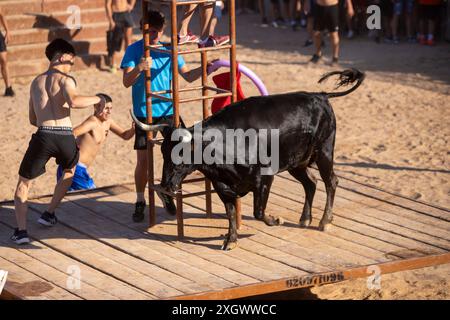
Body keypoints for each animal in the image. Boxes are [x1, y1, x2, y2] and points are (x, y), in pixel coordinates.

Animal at [133, 69, 366, 251]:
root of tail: (320, 96)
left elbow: (258, 211)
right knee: (311, 182)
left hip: (325, 151)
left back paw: (324, 221)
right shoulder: (222, 185)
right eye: (163, 153)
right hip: (297, 162)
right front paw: (231, 240)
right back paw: (304, 219)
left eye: (182, 153)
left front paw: (275, 219)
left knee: (331, 182)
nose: (166, 185)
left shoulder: (264, 178)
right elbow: (230, 213)